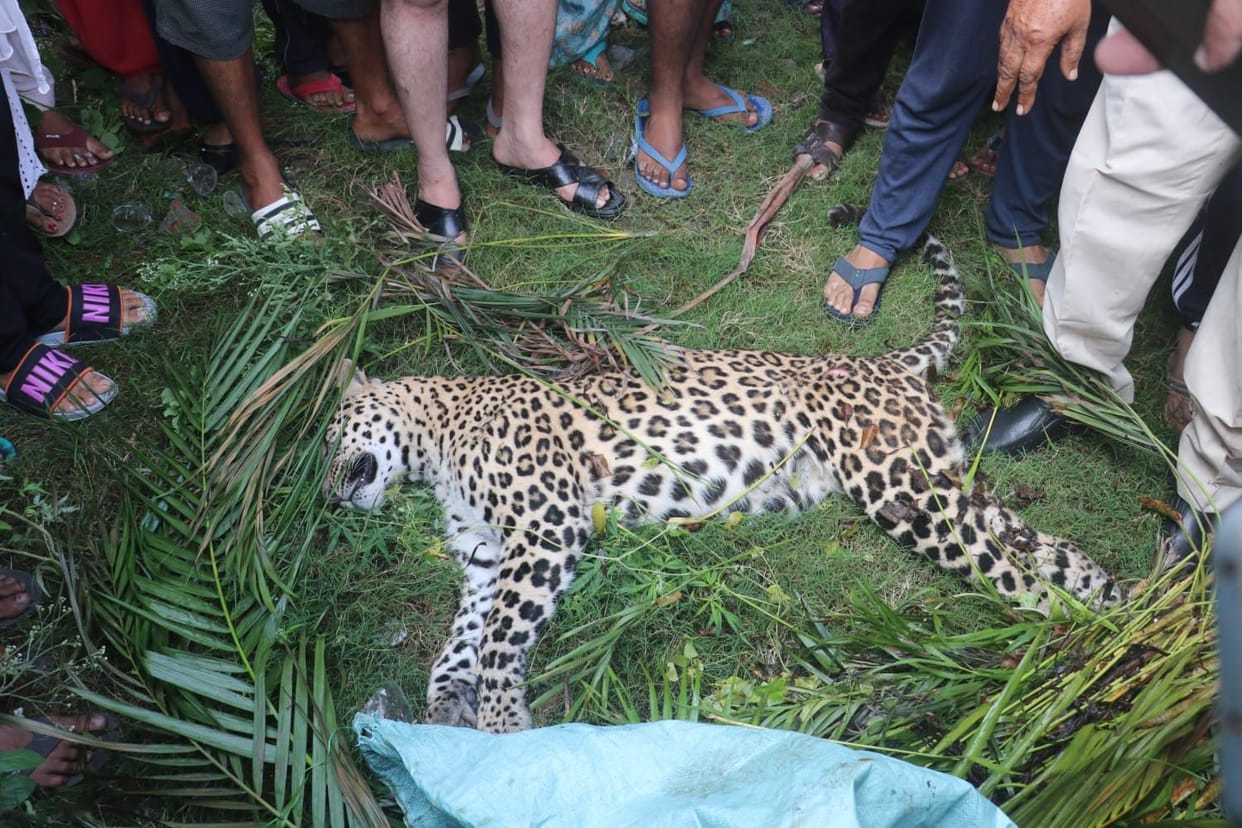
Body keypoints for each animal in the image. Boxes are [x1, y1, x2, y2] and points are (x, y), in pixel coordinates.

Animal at [323, 220, 1122, 734]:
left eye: (331, 435)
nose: (330, 494)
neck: (435, 440)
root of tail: (878, 363)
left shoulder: (545, 526)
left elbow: (497, 639)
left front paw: (498, 724)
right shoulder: (485, 552)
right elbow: (463, 636)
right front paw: (446, 701)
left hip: (897, 487)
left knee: (1009, 571)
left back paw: (1067, 653)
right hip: (936, 477)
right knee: (1045, 547)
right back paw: (1115, 612)